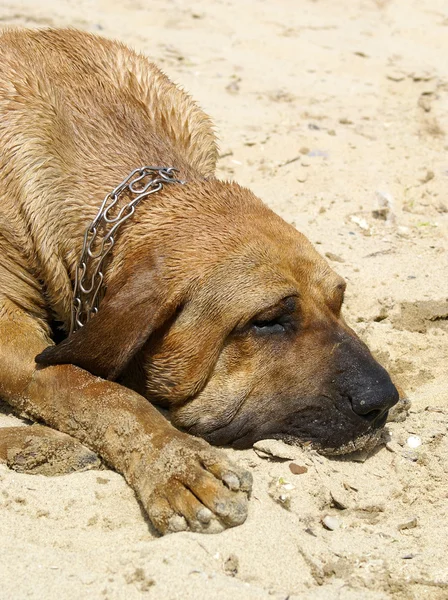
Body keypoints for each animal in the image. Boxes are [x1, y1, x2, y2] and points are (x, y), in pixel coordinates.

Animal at [0, 28, 400, 536]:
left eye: (339, 302)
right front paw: (177, 463)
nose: (383, 401)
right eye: (267, 321)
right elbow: (95, 390)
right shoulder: (12, 334)